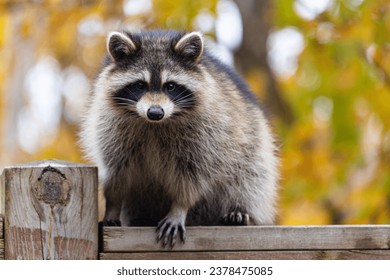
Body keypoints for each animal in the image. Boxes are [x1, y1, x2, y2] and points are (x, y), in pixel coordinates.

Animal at [80, 29, 278, 246]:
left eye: (171, 86)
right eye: (140, 85)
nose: (155, 112)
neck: (154, 124)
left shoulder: (209, 134)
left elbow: (193, 175)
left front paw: (179, 208)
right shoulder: (110, 131)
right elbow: (117, 174)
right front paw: (112, 206)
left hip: (253, 146)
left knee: (250, 177)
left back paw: (240, 210)